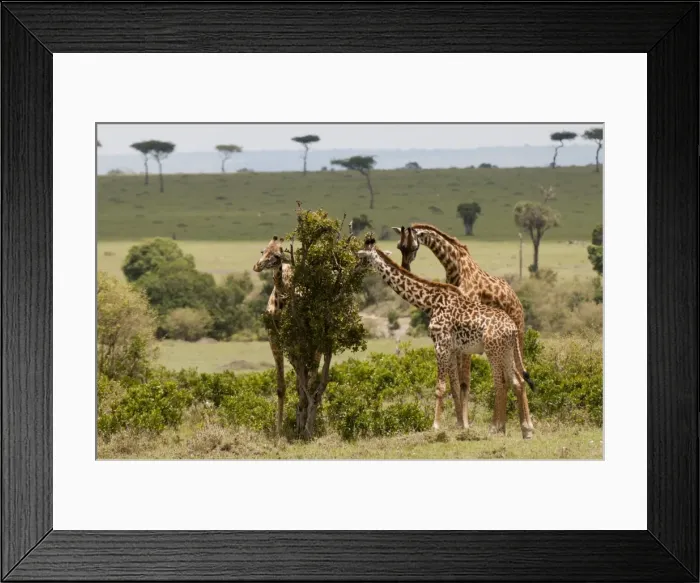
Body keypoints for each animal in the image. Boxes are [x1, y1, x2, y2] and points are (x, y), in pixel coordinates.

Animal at [357, 236, 534, 438]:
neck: (429, 302)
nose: (355, 268)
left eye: (362, 257)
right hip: (506, 351)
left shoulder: (440, 344)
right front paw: (460, 425)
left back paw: (496, 428)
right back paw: (525, 429)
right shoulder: (452, 347)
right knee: (517, 381)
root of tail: (513, 329)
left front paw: (435, 426)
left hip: (493, 351)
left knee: (501, 383)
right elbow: (455, 386)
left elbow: (440, 387)